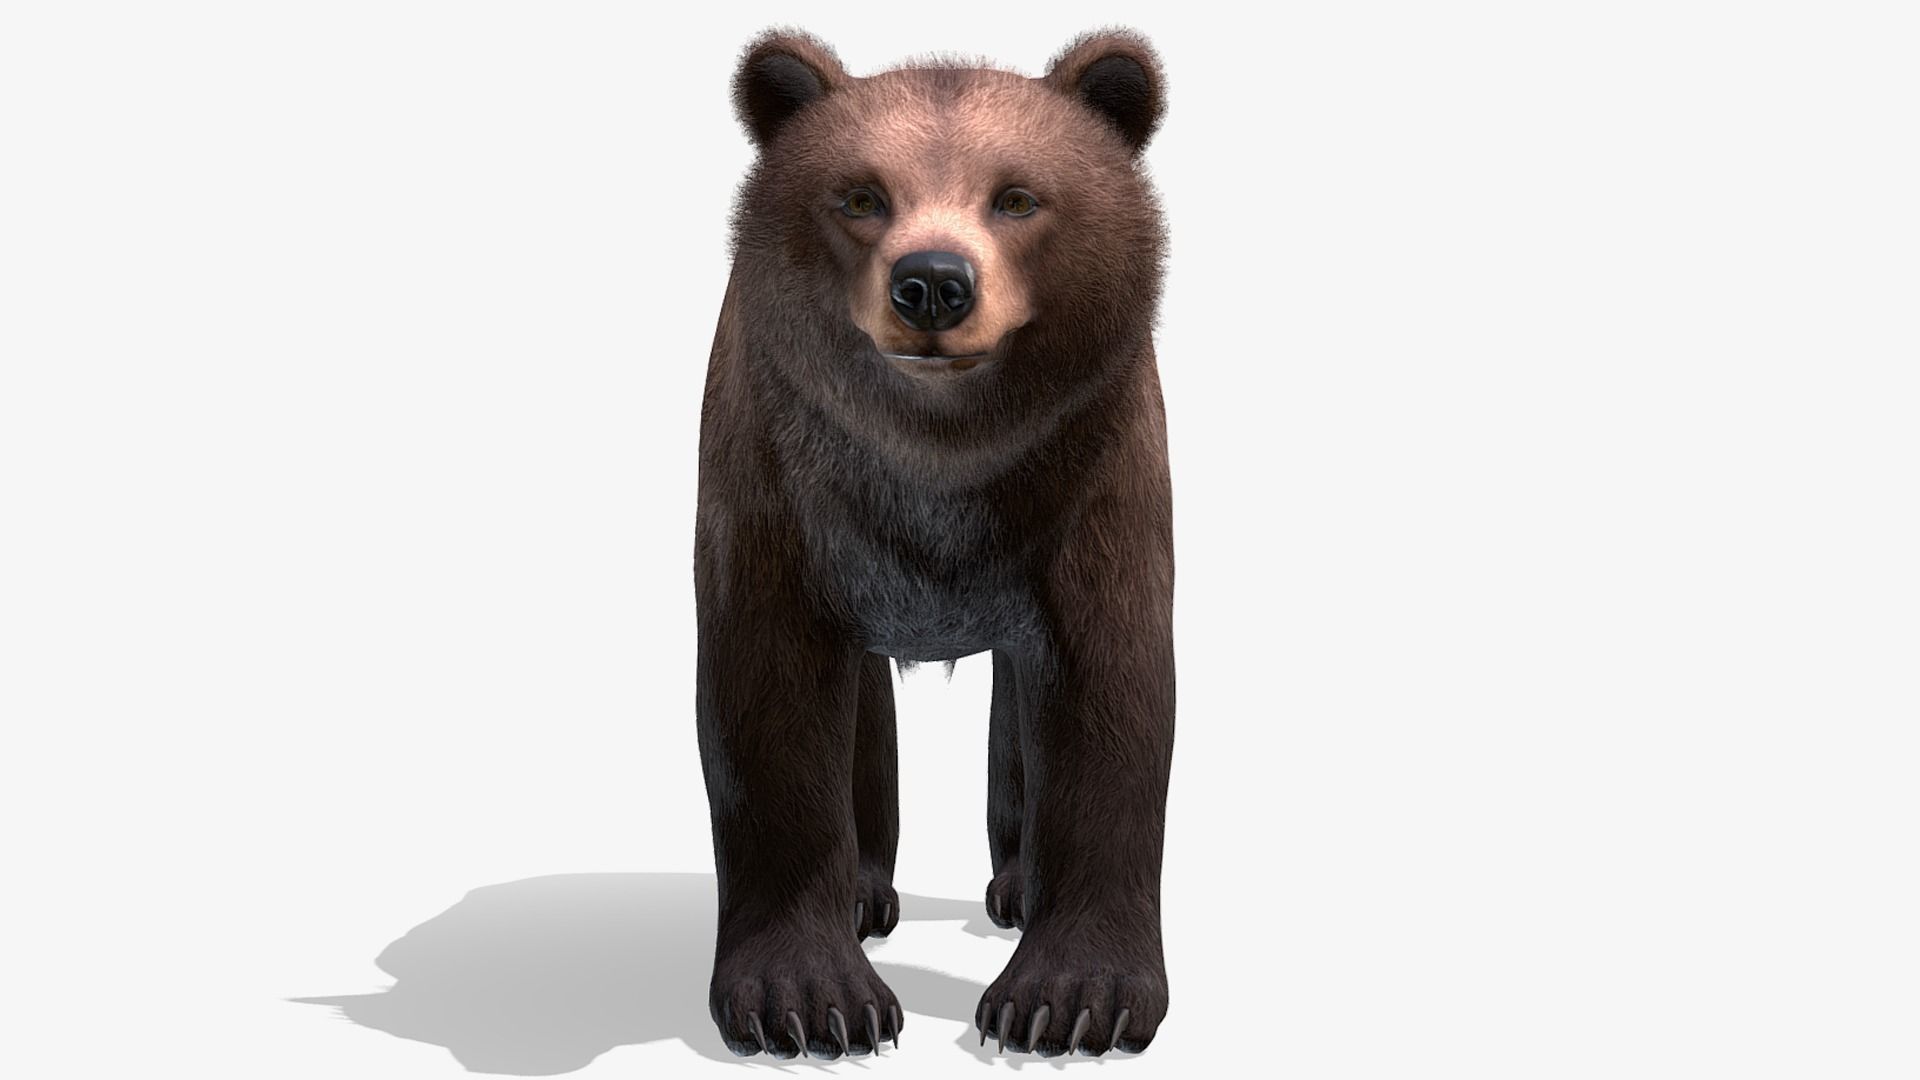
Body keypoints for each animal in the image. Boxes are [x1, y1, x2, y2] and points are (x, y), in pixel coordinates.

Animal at [693, 27, 1174, 1060]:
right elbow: (769, 706)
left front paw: (1072, 999)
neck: (941, 459)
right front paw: (809, 999)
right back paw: (864, 893)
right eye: (861, 196)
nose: (933, 283)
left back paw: (1017, 886)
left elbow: (1108, 694)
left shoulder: (1094, 471)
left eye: (1019, 196)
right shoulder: (778, 480)